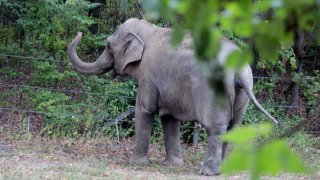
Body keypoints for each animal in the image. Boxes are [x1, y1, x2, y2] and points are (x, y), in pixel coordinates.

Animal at [68, 17, 278, 175]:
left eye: (108, 45)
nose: (79, 32)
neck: (148, 30)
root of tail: (239, 70)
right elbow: (168, 117)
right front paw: (172, 166)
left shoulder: (148, 75)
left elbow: (144, 110)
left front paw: (136, 163)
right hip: (243, 92)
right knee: (233, 127)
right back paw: (223, 170)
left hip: (215, 90)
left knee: (216, 127)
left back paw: (207, 172)